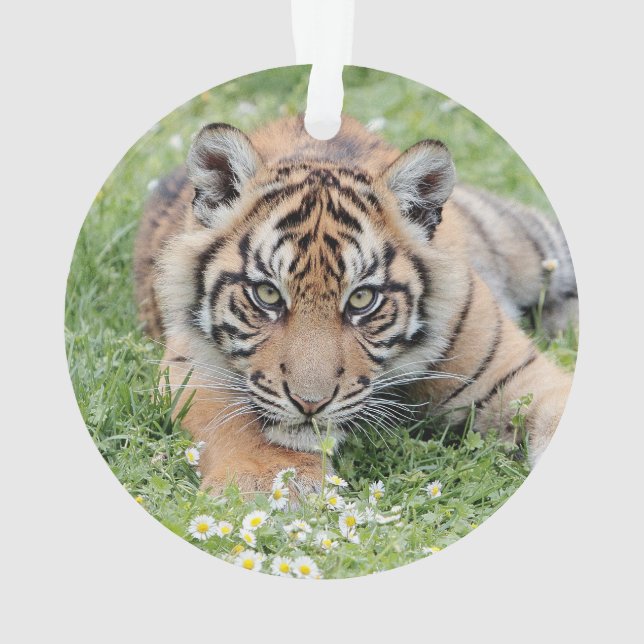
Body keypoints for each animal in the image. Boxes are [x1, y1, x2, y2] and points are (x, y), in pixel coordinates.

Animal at [134, 115, 577, 496]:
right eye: (268, 294)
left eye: (362, 299)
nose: (309, 403)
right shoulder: (191, 365)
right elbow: (233, 423)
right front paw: (269, 482)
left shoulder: (516, 374)